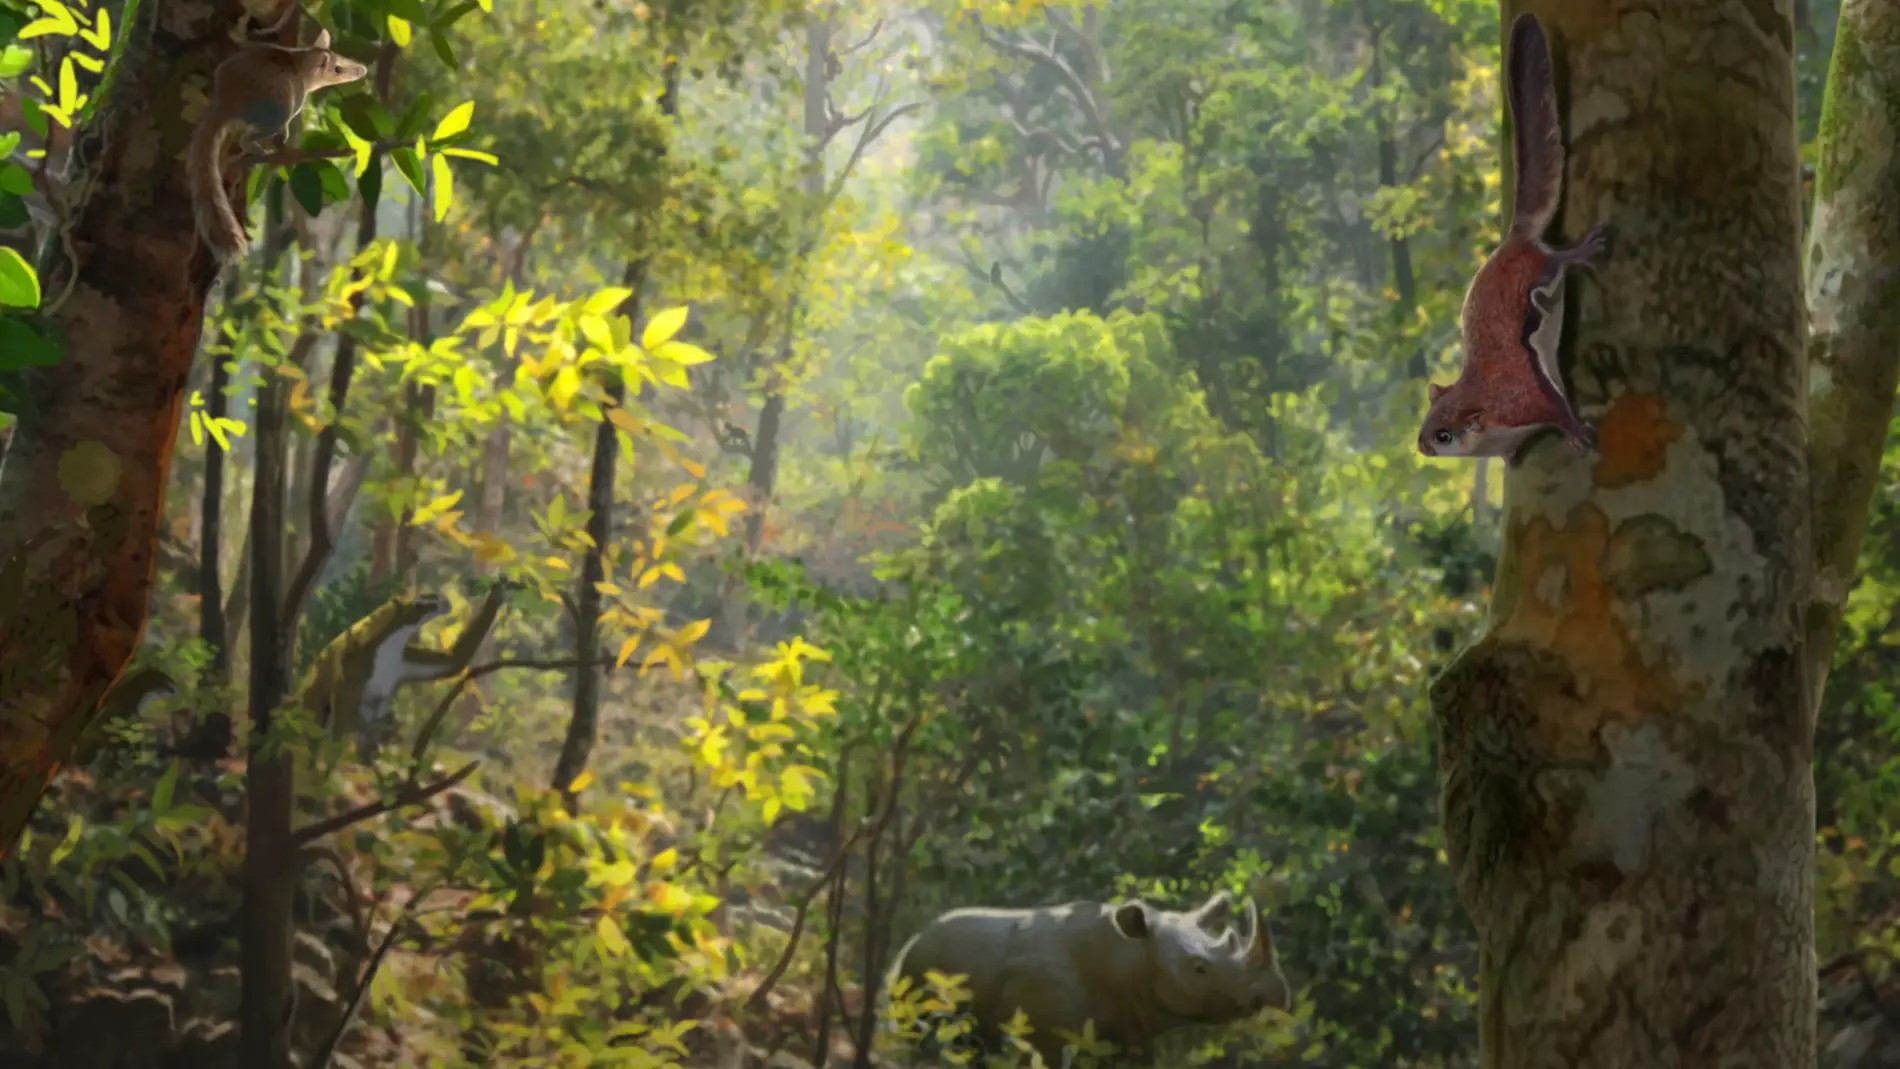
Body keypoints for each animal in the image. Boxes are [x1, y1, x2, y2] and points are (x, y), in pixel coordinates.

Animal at [189, 26, 370, 263]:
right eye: (338, 69)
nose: (363, 70)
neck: (302, 60)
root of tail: (225, 102)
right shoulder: (297, 97)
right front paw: (282, 140)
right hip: (278, 109)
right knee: (249, 137)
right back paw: (260, 148)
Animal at [1421, 11, 1611, 465]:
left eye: (1443, 436)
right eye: (1426, 420)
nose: (1420, 445)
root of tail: (1513, 242)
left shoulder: (1522, 399)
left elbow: (1555, 407)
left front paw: (1577, 431)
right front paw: (1511, 461)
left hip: (1538, 269)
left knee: (1557, 260)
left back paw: (1583, 252)